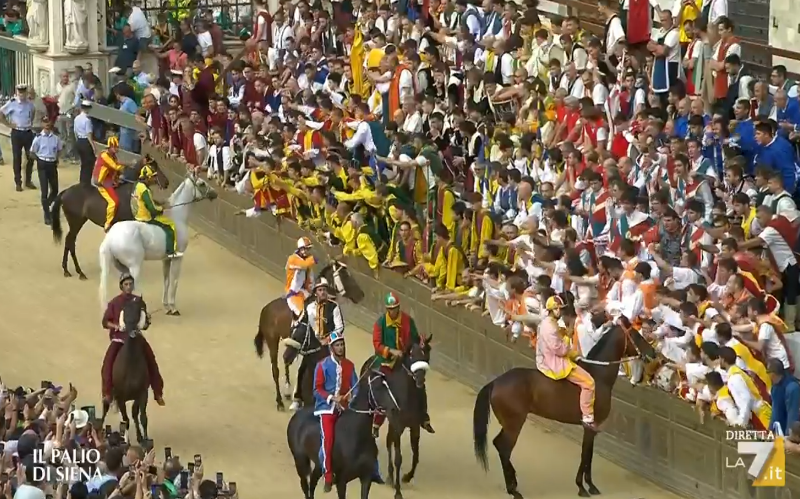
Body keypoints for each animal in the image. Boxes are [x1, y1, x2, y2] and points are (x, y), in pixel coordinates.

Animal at [100, 173, 219, 316]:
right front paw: (173, 308)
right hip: (134, 266)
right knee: (134, 286)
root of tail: (110, 237)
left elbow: (166, 281)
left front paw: (166, 306)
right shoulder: (178, 258)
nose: (215, 193)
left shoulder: (166, 259)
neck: (177, 218)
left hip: (122, 266)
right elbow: (174, 281)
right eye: (202, 183)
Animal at [252, 260, 364, 412]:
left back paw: (288, 391)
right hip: (272, 341)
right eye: (345, 276)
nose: (361, 295)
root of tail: (265, 309)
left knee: (286, 362)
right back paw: (280, 401)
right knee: (276, 369)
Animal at [288, 368, 400, 499]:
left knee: (312, 482)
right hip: (300, 461)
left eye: (389, 386)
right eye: (377, 387)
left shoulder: (366, 478)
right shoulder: (341, 481)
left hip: (318, 465)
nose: (394, 409)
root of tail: (297, 416)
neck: (356, 436)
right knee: (305, 486)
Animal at [360, 340, 432, 499]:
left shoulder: (414, 426)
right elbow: (398, 458)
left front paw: (407, 477)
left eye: (427, 353)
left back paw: (390, 476)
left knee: (389, 441)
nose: (420, 379)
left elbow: (416, 454)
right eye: (412, 354)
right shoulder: (398, 425)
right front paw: (398, 491)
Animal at [472, 312, 652, 499]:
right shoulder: (590, 426)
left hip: (508, 424)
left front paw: (590, 485)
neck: (598, 376)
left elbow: (589, 454)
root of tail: (495, 382)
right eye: (637, 335)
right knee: (504, 448)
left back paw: (512, 484)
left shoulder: (592, 428)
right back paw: (514, 489)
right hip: (514, 424)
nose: (653, 353)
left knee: (498, 444)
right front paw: (583, 487)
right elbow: (585, 454)